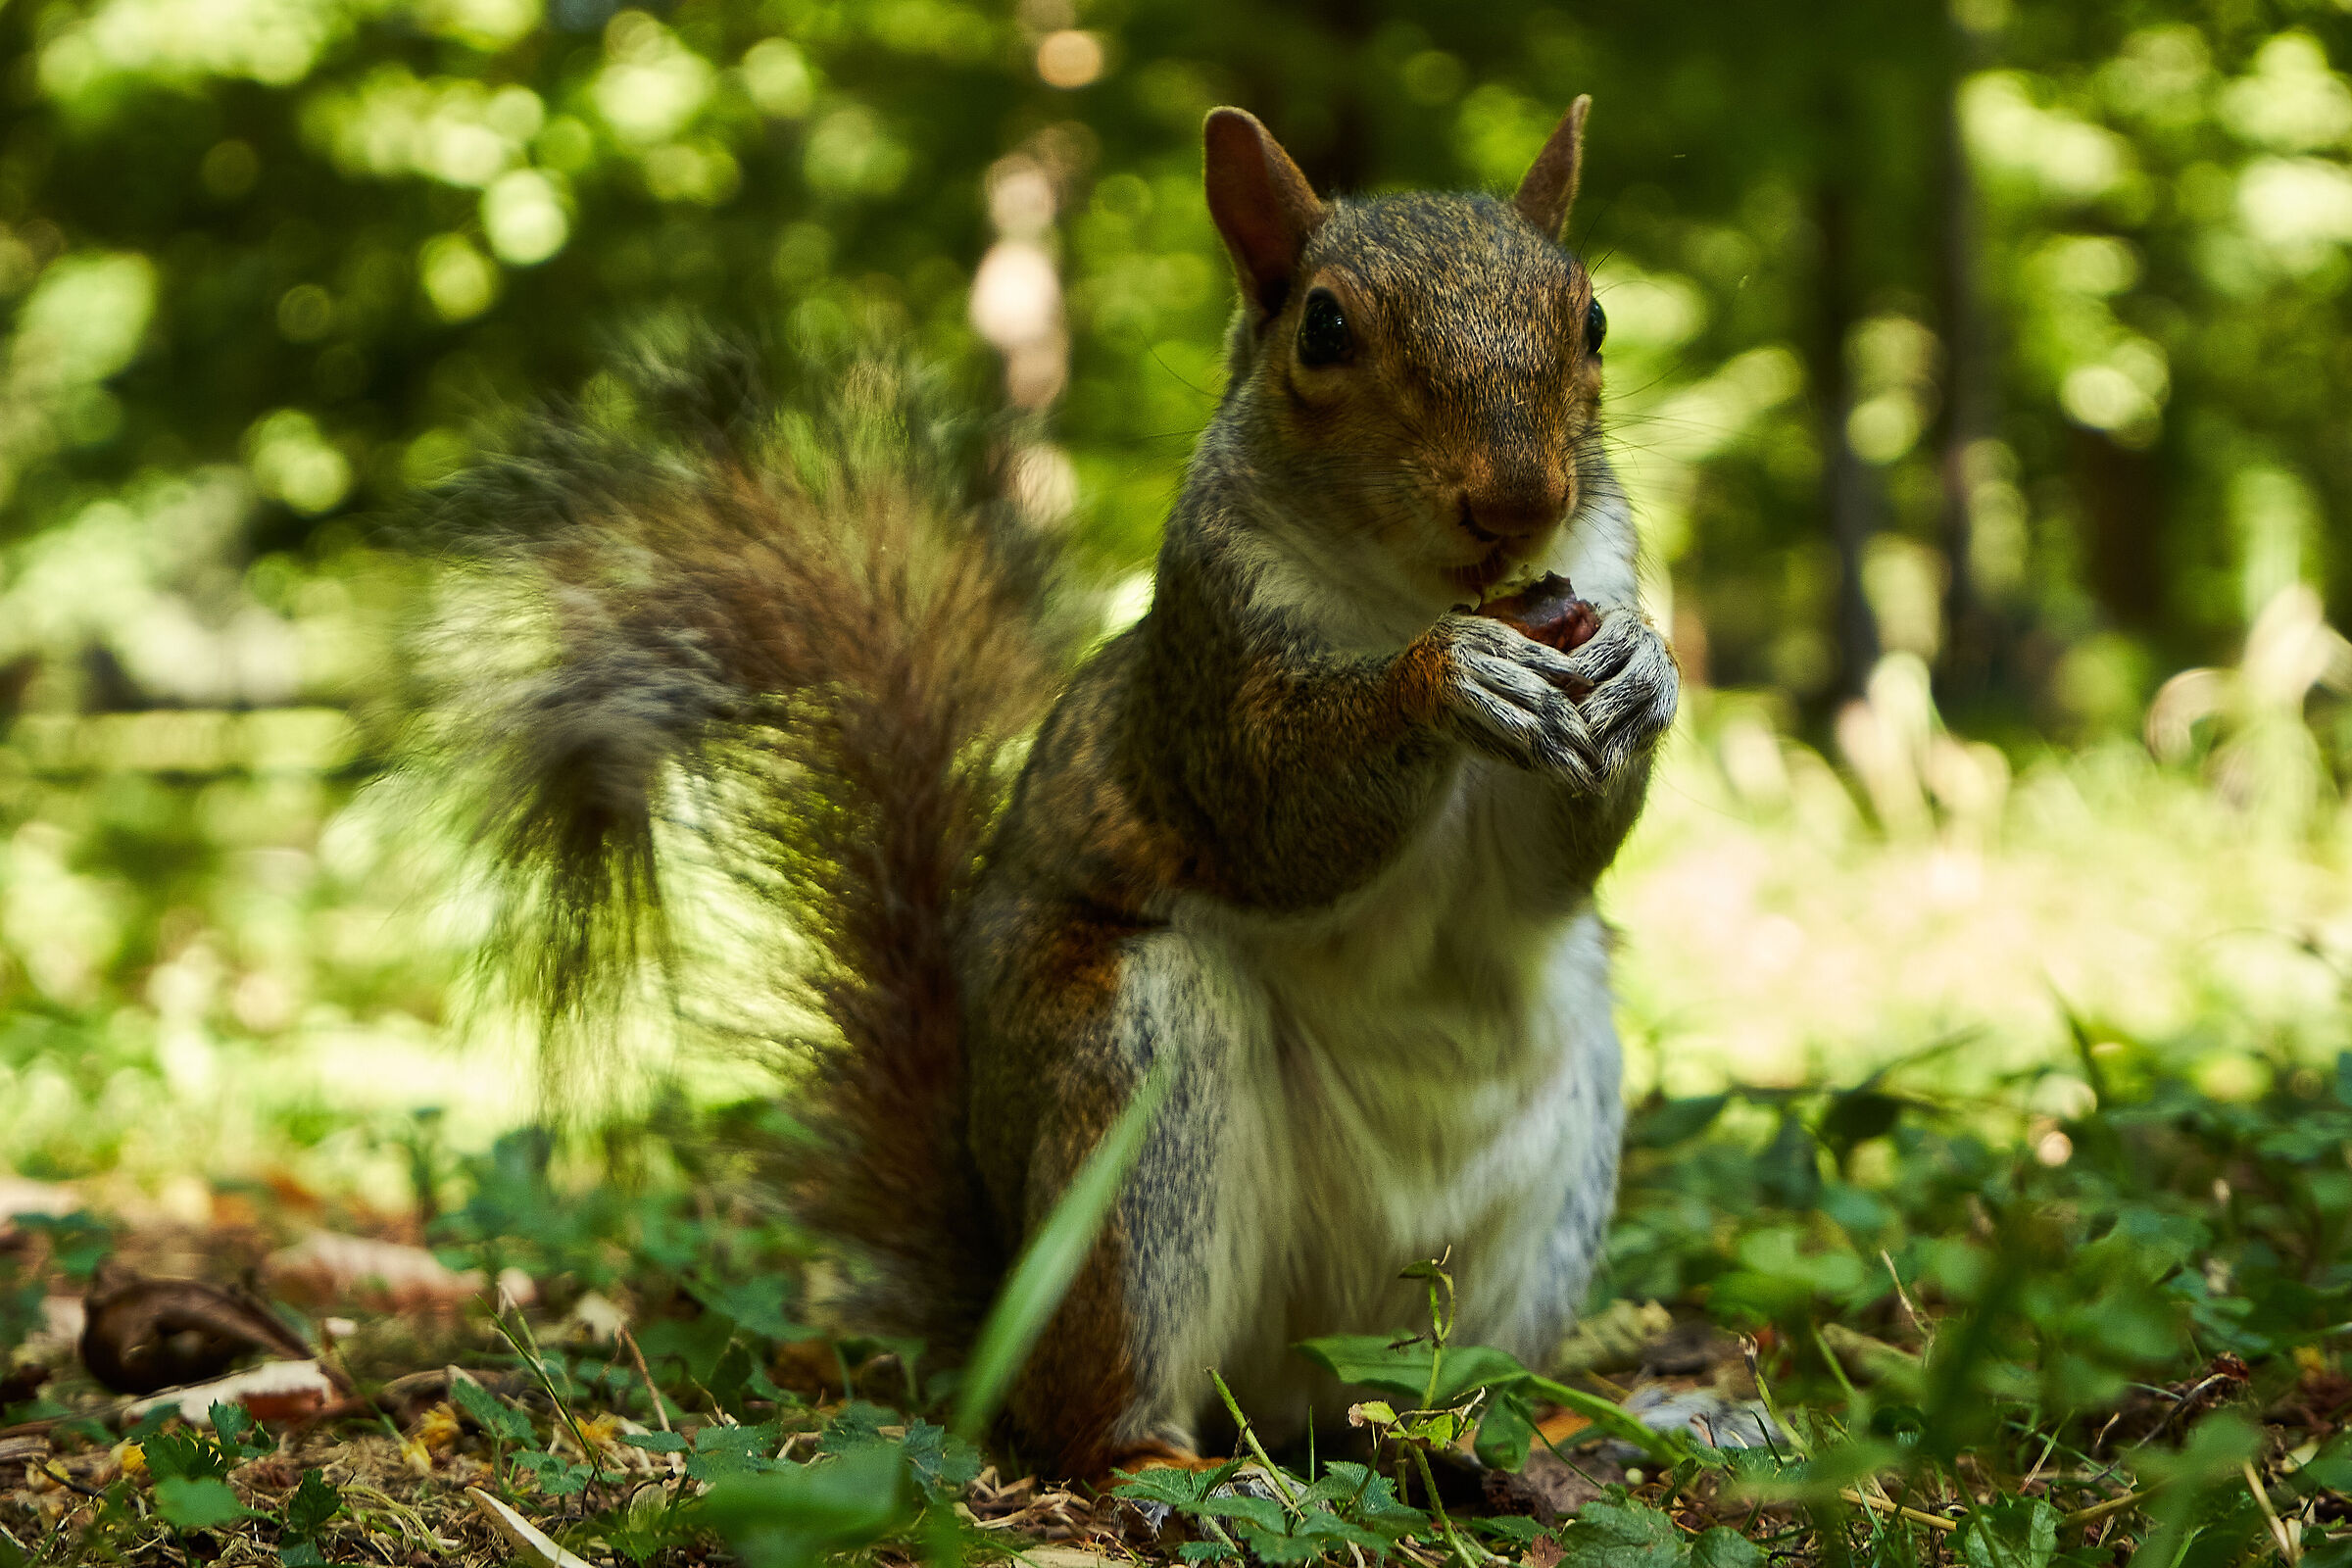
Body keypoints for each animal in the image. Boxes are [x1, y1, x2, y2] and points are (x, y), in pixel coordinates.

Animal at [432, 97, 1678, 1480]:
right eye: (1325, 328)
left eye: (1593, 318)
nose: (1520, 500)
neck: (1417, 588)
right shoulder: (1203, 673)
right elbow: (1281, 814)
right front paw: (1445, 678)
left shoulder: (1590, 579)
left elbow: (1553, 863)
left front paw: (1642, 671)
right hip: (1126, 1096)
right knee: (1088, 1402)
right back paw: (1162, 1461)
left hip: (1542, 1188)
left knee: (1426, 1391)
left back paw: (1518, 1435)